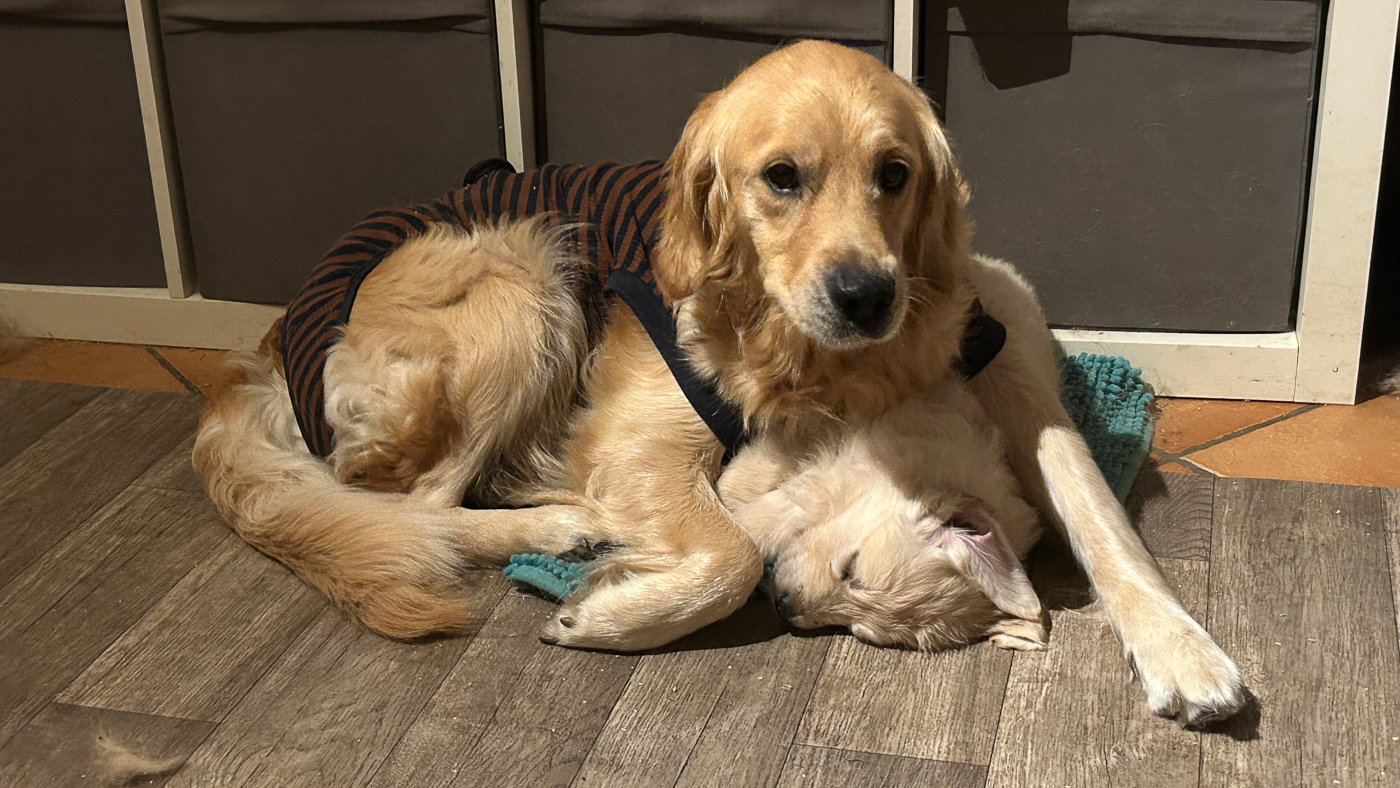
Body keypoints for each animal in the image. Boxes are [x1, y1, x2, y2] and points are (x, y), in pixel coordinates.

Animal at [194, 41, 1245, 724]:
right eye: (781, 177)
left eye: (894, 173)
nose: (866, 295)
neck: (842, 374)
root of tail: (267, 345)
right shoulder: (645, 442)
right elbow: (733, 557)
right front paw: (610, 613)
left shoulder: (1017, 382)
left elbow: (1101, 520)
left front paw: (1184, 652)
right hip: (520, 272)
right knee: (407, 501)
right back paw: (556, 525)